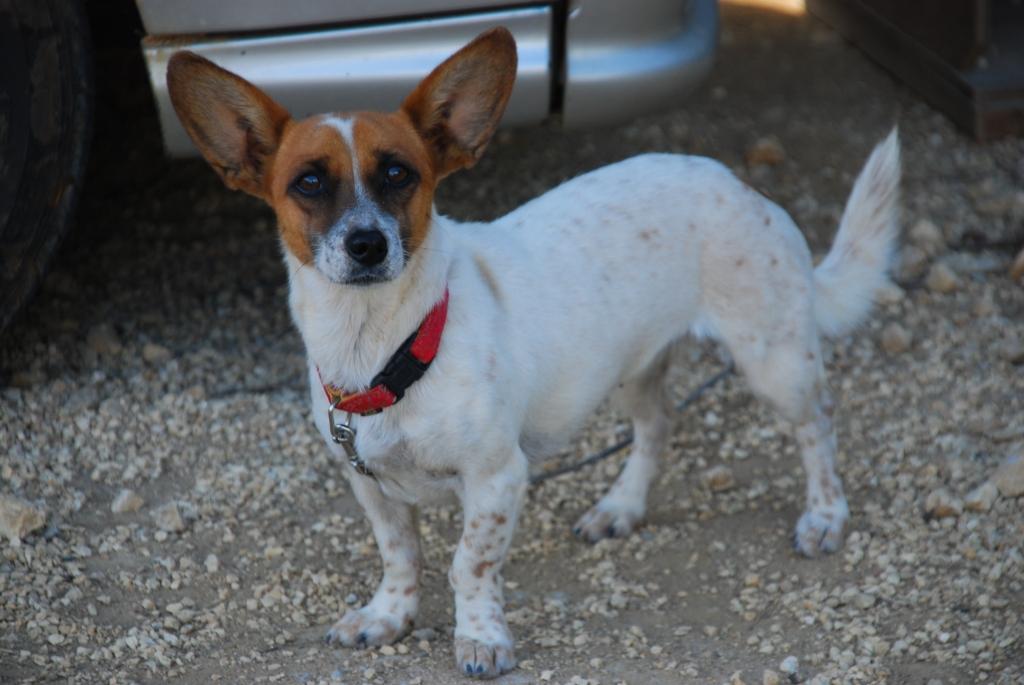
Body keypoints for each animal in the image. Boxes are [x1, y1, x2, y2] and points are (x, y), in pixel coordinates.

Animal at [167, 28, 897, 679]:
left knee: (818, 423)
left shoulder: (497, 477)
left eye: (400, 174)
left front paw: (481, 637)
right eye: (308, 183)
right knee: (658, 426)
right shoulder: (368, 483)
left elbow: (468, 563)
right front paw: (389, 615)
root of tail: (738, 183)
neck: (383, 344)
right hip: (631, 368)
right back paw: (621, 507)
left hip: (774, 362)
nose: (367, 244)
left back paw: (825, 516)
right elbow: (401, 554)